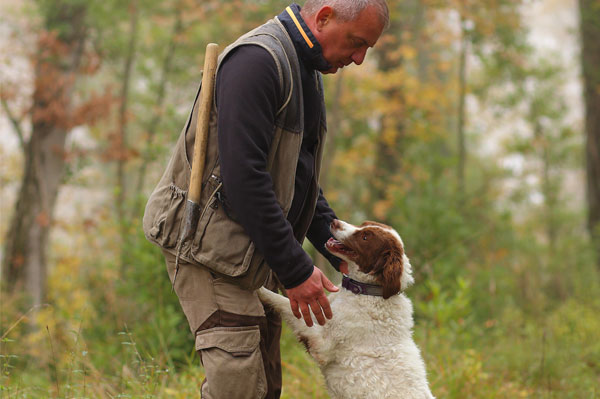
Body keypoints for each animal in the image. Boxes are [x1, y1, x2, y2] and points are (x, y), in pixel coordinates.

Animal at [255, 220, 434, 398]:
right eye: (363, 224)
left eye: (365, 237)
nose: (334, 222)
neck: (367, 291)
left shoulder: (322, 344)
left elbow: (283, 302)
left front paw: (259, 289)